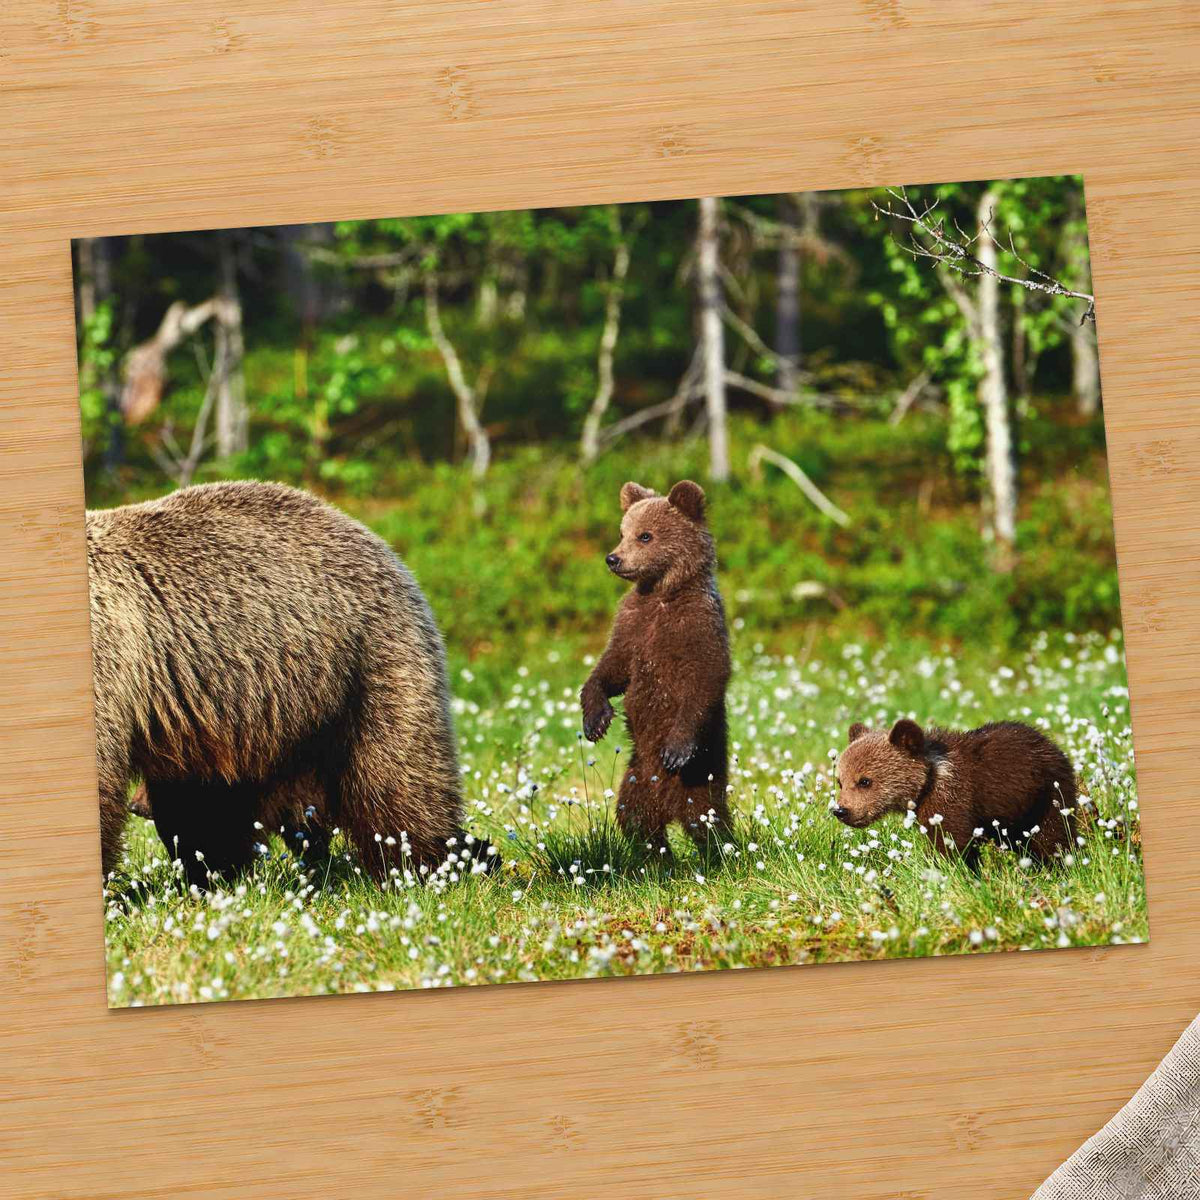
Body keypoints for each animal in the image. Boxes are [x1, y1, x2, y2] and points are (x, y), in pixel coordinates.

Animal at [580, 480, 732, 854]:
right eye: (622, 532)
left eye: (645, 535)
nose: (613, 558)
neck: (663, 593)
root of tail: (669, 807)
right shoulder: (633, 625)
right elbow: (612, 668)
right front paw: (596, 719)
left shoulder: (697, 626)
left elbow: (706, 678)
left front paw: (676, 749)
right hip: (635, 778)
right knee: (635, 820)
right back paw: (658, 857)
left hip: (701, 778)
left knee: (708, 822)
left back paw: (720, 854)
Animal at [833, 718, 1081, 866]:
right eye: (840, 781)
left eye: (865, 781)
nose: (841, 810)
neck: (929, 781)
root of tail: (1052, 744)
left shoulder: (951, 802)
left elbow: (950, 842)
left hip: (1048, 795)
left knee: (1053, 836)